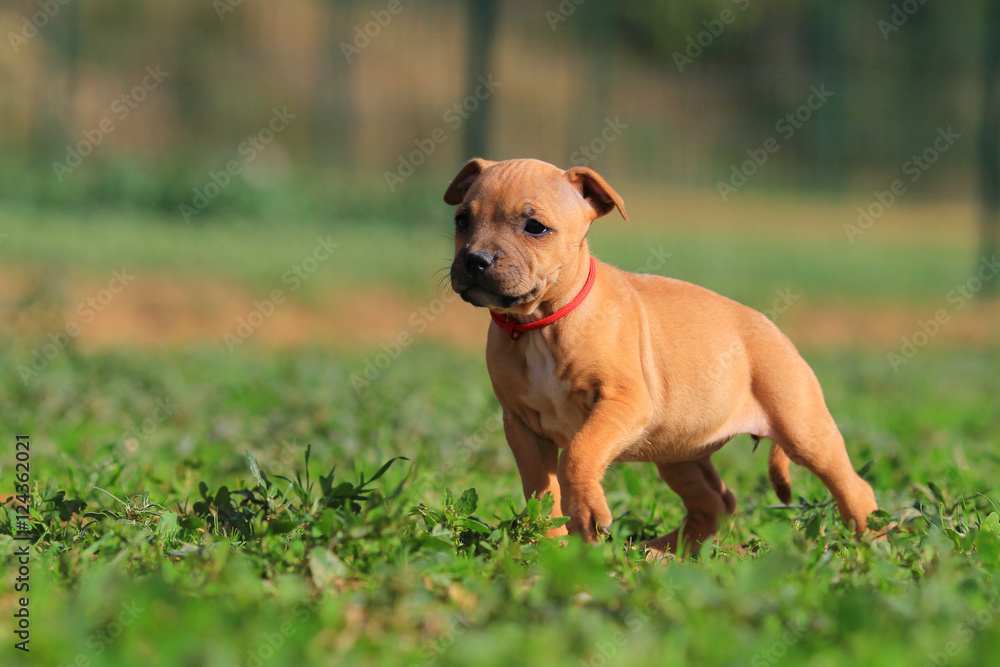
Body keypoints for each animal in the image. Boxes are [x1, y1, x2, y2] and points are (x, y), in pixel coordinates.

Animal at [444, 158, 876, 560]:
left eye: (535, 227)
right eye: (462, 220)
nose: (475, 260)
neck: (541, 324)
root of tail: (772, 327)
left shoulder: (623, 403)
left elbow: (579, 454)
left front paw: (586, 515)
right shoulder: (522, 427)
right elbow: (541, 491)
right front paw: (551, 549)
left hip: (803, 429)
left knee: (854, 487)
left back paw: (873, 547)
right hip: (679, 451)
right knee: (716, 502)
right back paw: (663, 552)